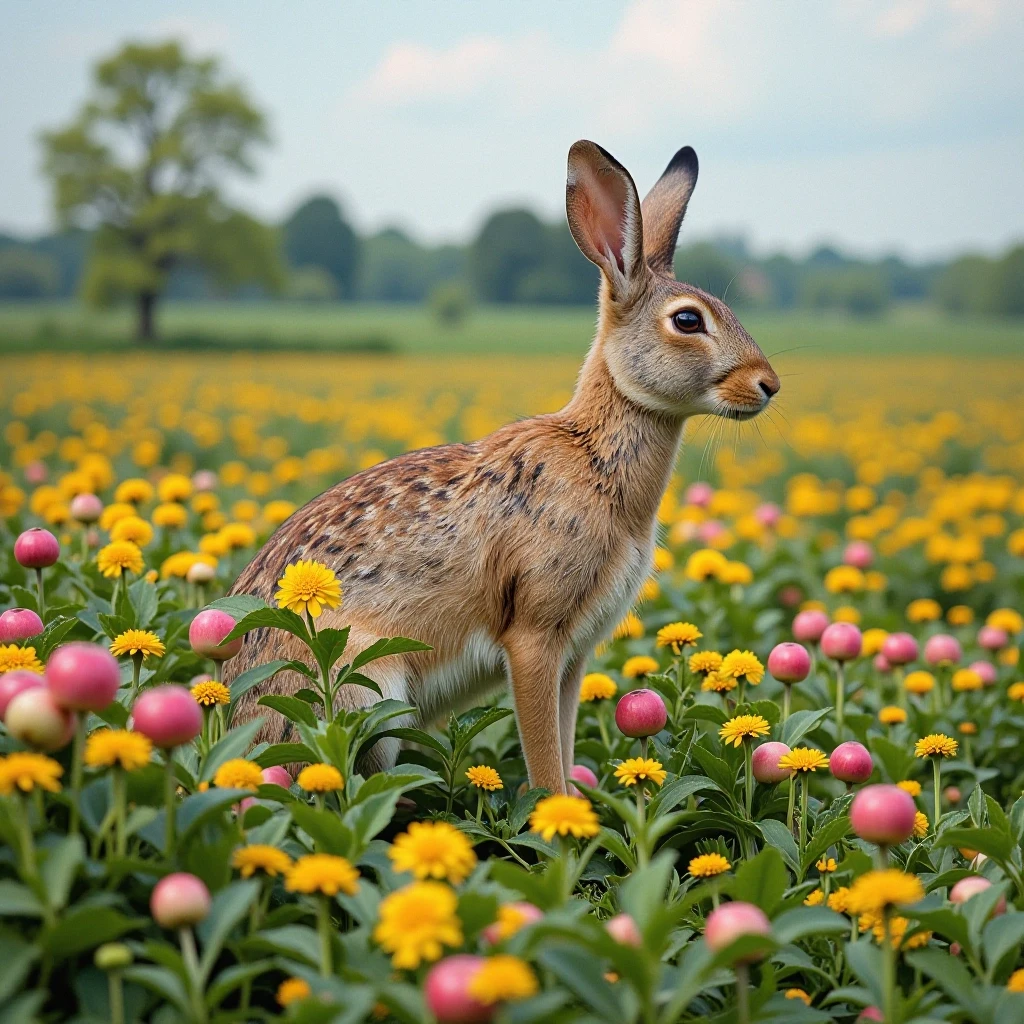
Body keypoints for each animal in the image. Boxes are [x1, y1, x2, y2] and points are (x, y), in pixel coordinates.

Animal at [226, 140, 780, 794]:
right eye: (688, 321)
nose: (768, 385)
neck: (592, 452)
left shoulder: (574, 654)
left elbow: (564, 738)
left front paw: (578, 804)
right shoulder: (535, 637)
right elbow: (543, 753)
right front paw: (554, 811)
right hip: (365, 689)